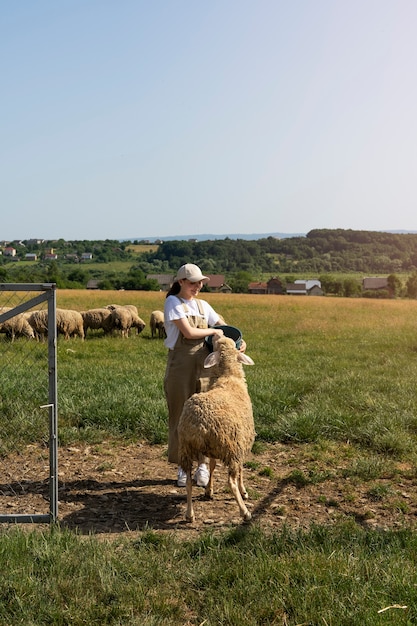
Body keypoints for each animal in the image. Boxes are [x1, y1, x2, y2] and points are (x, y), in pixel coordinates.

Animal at [176, 336, 254, 520]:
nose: (217, 336)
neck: (229, 378)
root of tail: (199, 424)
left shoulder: (214, 449)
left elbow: (211, 466)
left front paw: (209, 491)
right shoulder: (241, 442)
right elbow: (241, 469)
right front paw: (244, 491)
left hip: (186, 448)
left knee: (189, 481)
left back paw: (189, 514)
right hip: (231, 449)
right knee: (230, 482)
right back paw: (244, 511)